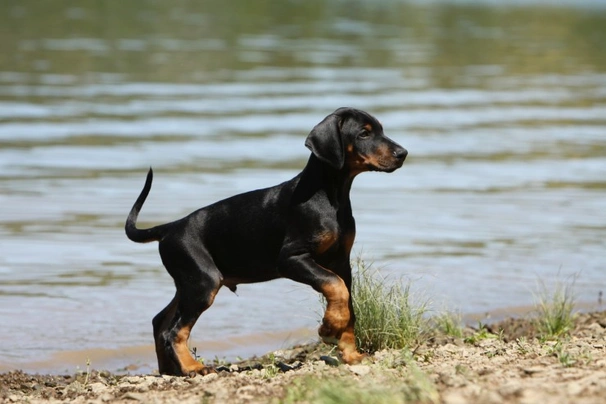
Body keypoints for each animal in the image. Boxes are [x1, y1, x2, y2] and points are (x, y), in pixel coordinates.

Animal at [126, 107, 408, 376]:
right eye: (364, 134)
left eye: (381, 130)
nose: (403, 153)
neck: (331, 196)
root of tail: (170, 228)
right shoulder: (291, 259)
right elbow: (335, 286)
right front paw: (328, 328)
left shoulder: (341, 262)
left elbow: (348, 304)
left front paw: (350, 353)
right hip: (203, 283)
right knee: (174, 331)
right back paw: (192, 367)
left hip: (189, 283)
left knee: (160, 322)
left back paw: (169, 370)